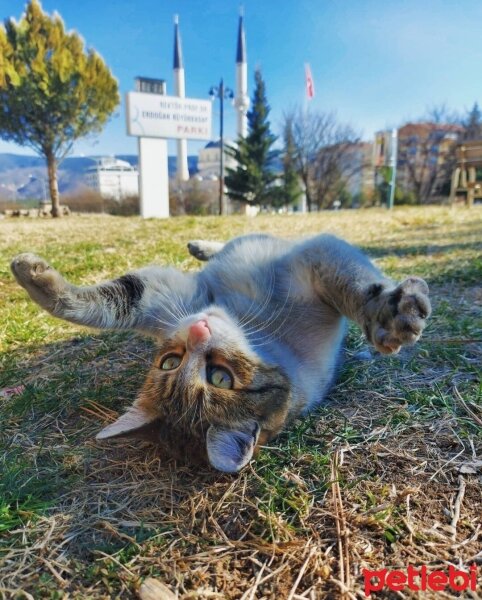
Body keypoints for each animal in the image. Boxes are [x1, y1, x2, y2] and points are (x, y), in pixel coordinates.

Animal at [12, 234, 434, 474]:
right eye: (173, 361)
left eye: (220, 376)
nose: (199, 329)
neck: (251, 325)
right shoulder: (170, 299)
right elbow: (113, 301)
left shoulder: (317, 260)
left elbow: (357, 286)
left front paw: (388, 315)